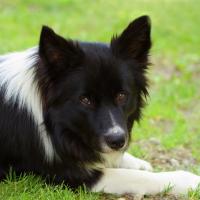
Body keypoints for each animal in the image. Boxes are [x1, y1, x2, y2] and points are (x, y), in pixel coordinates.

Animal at [0, 15, 199, 195]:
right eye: (85, 100)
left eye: (121, 95)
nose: (117, 141)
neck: (49, 122)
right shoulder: (65, 175)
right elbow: (132, 176)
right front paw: (187, 180)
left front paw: (136, 162)